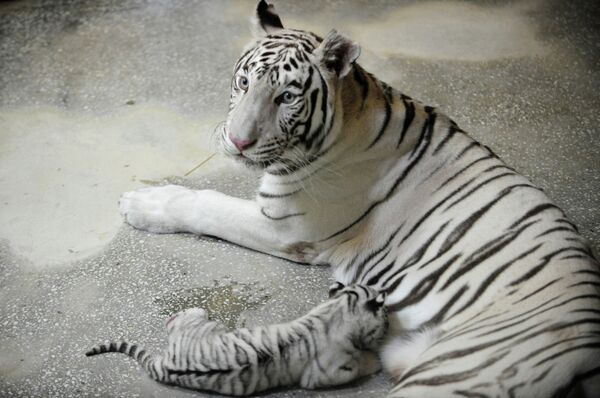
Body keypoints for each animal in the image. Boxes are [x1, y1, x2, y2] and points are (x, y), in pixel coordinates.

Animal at [86, 282, 386, 394]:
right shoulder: (323, 375)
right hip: (201, 319)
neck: (338, 310)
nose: (390, 322)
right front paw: (374, 361)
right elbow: (356, 368)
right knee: (182, 316)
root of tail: (165, 364)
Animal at [119, 0, 600, 398]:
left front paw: (142, 202)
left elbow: (205, 204)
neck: (349, 111)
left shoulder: (286, 225)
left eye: (286, 96)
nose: (237, 142)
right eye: (242, 82)